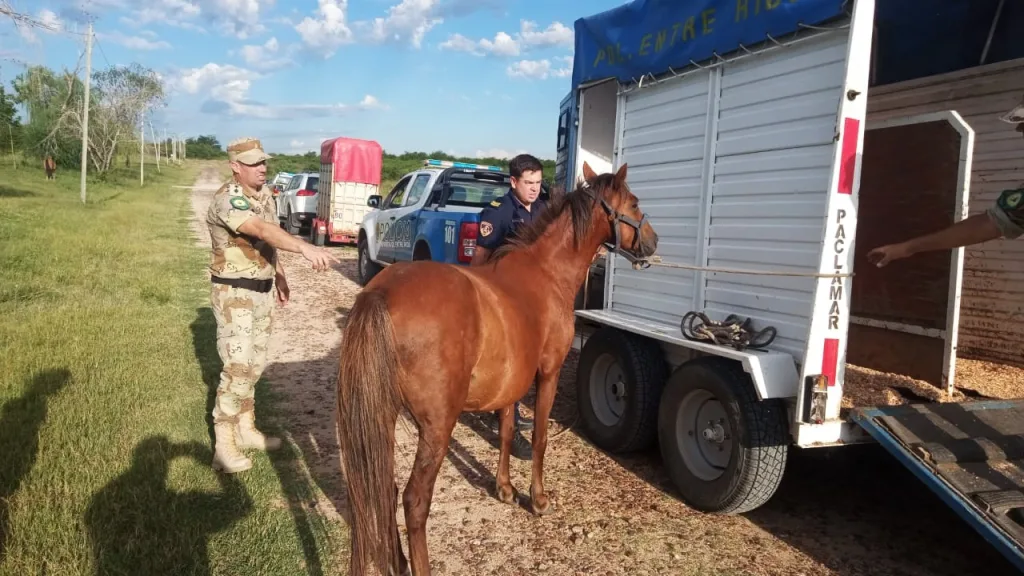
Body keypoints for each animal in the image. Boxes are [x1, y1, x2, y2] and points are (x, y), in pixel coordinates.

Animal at [335, 161, 659, 575]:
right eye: (634, 203)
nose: (653, 242)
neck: (546, 273)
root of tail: (381, 292)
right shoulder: (548, 373)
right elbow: (539, 437)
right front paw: (538, 498)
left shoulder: (511, 382)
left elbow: (506, 431)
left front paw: (504, 489)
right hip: (436, 427)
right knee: (414, 501)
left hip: (384, 415)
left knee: (384, 487)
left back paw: (396, 559)